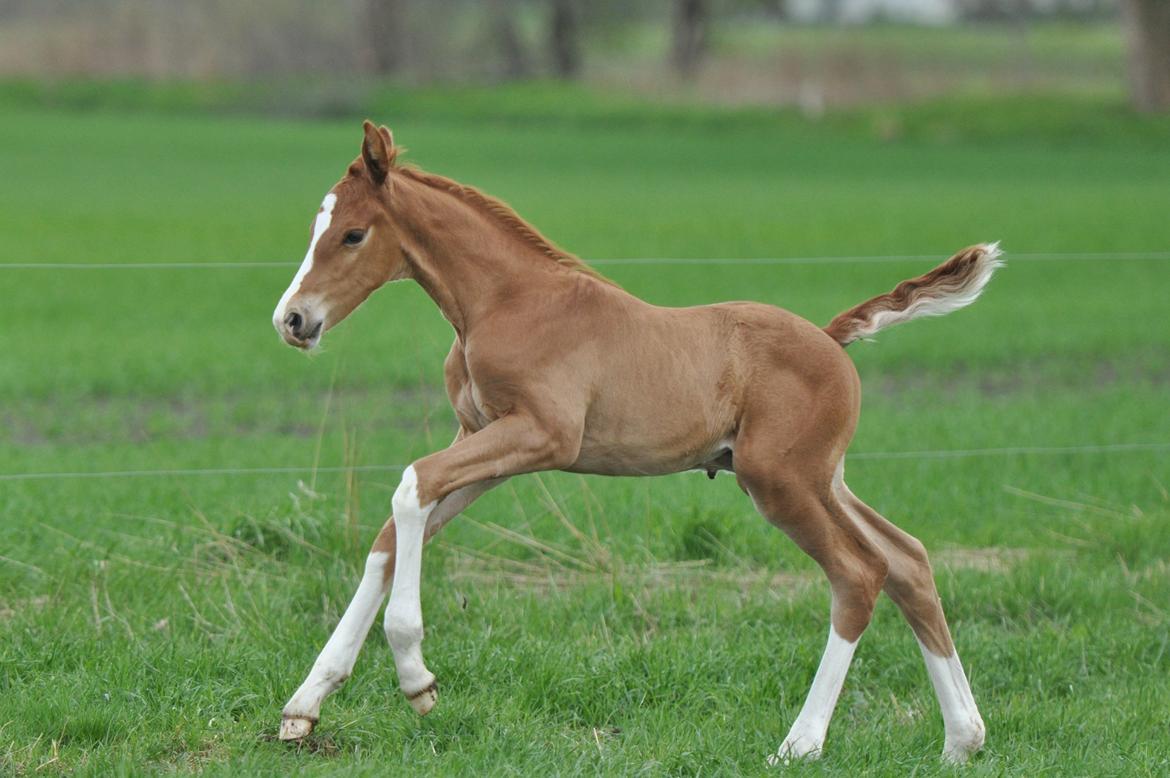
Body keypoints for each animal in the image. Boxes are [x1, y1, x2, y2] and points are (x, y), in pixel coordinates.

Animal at [271, 122, 996, 762]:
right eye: (314, 229)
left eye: (353, 234)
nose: (292, 320)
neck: (506, 301)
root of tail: (830, 337)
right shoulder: (487, 443)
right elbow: (394, 534)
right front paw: (306, 705)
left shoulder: (542, 436)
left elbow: (411, 485)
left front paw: (417, 679)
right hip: (822, 478)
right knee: (908, 561)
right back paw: (962, 739)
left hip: (781, 482)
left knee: (857, 573)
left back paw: (801, 744)